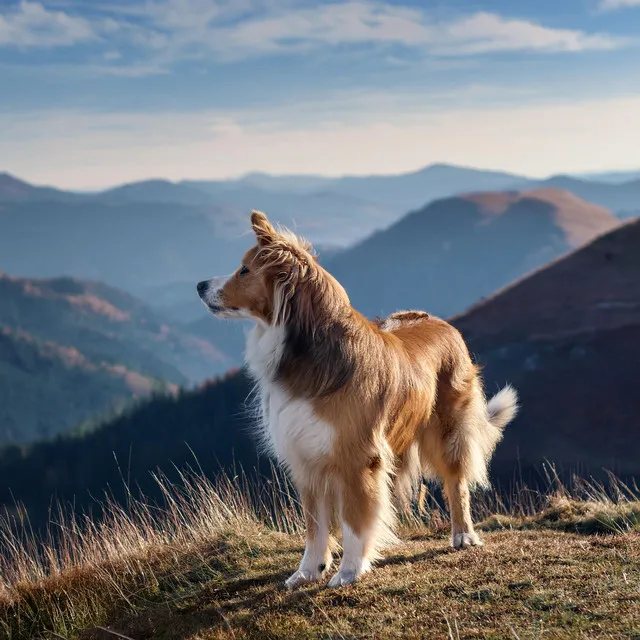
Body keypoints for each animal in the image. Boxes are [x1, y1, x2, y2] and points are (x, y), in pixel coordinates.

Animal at [198, 211, 516, 592]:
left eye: (244, 270)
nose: (199, 285)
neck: (307, 351)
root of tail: (443, 323)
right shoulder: (306, 456)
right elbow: (315, 525)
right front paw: (309, 571)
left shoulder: (357, 456)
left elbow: (353, 521)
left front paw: (349, 571)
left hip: (447, 431)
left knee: (457, 481)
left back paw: (464, 535)